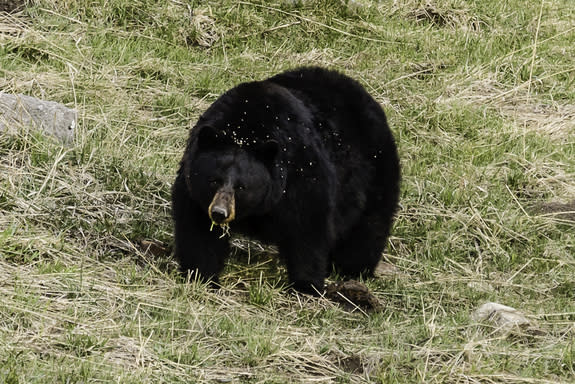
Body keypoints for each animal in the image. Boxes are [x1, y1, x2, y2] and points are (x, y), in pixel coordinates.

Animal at [172, 67, 400, 294]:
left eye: (241, 187)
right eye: (213, 180)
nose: (220, 213)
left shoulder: (301, 171)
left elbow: (308, 229)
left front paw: (306, 286)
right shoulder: (193, 188)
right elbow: (199, 230)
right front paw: (202, 277)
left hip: (374, 172)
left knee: (369, 227)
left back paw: (353, 271)